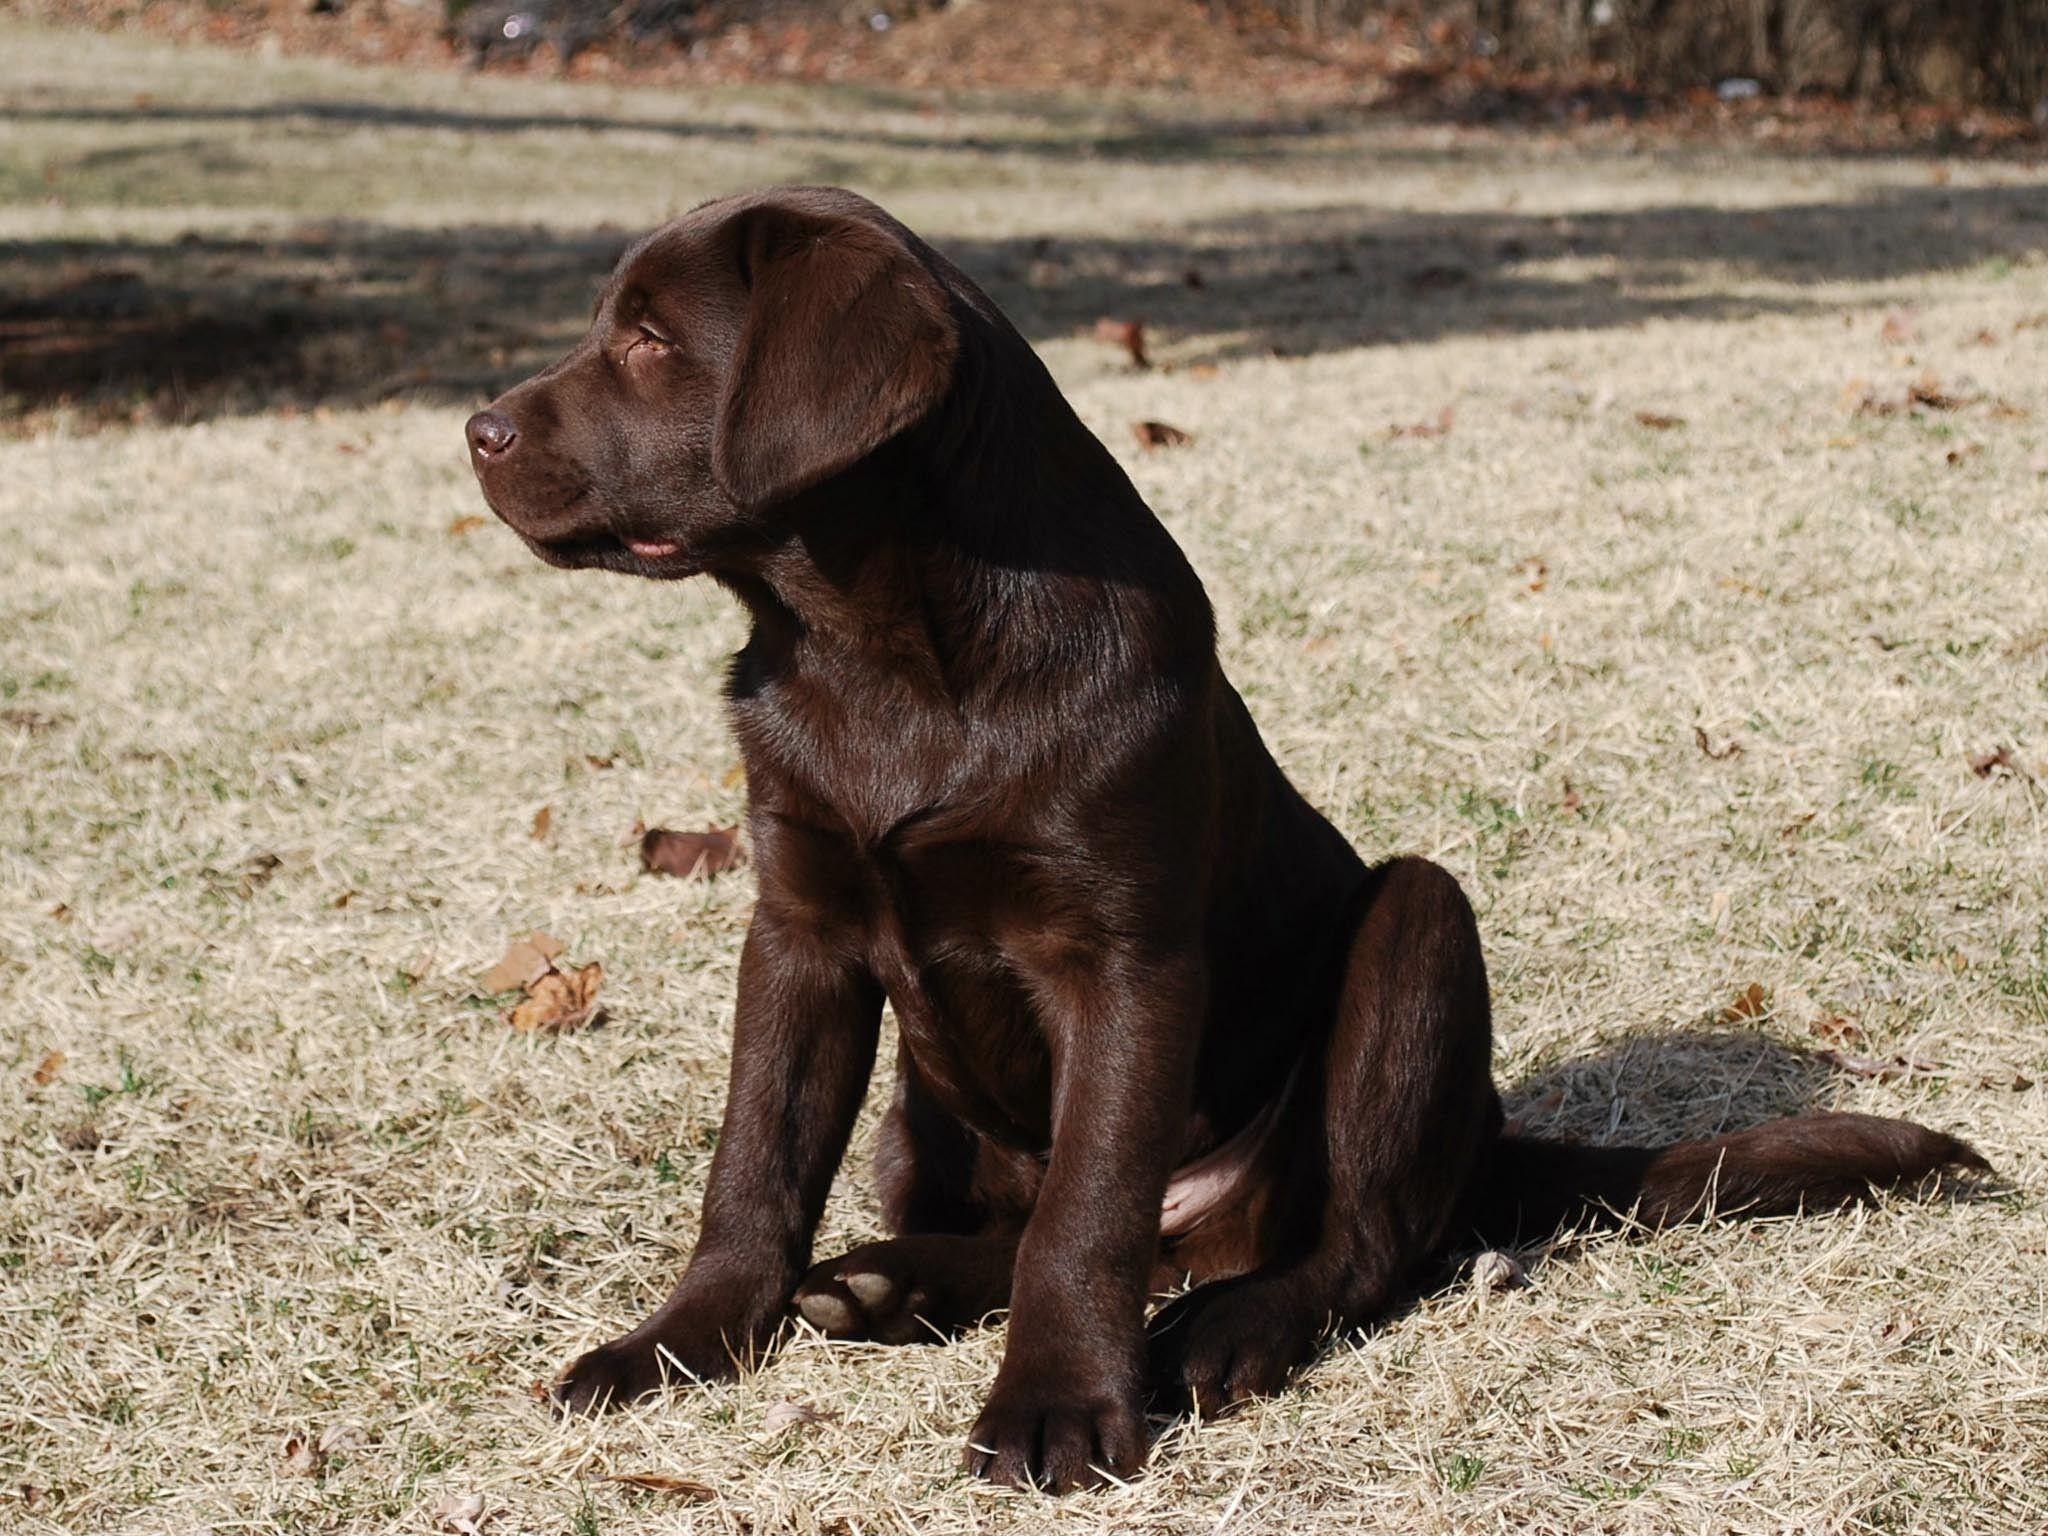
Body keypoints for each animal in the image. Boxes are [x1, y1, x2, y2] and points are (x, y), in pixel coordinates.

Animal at [464, 180, 1982, 1490]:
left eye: (651, 340)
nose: (476, 429)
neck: (875, 649)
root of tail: (1491, 1136)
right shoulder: (800, 928)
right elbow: (755, 1171)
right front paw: (674, 1348)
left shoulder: (1123, 958)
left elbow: (1088, 1213)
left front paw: (1057, 1408)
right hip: (921, 1110)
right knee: (1034, 1225)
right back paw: (893, 1279)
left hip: (1417, 929)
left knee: (1347, 1241)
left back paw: (1228, 1327)